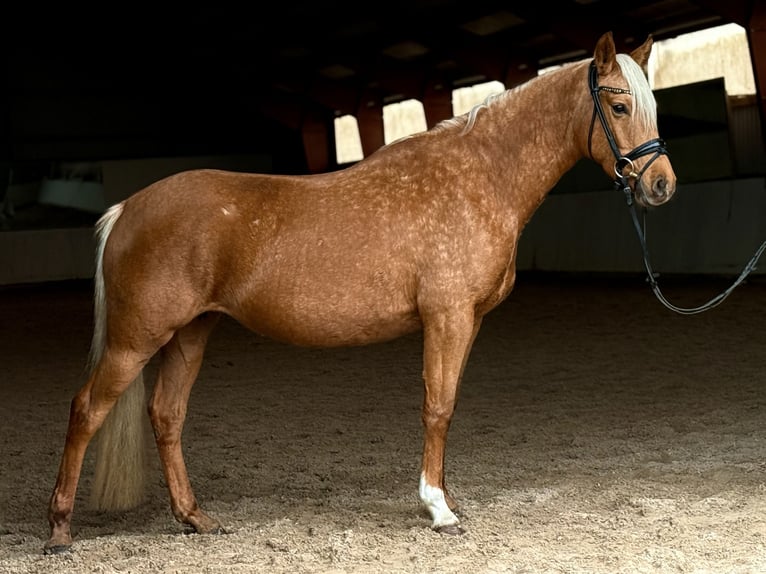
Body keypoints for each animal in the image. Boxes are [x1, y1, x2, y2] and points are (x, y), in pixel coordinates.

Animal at [44, 31, 676, 553]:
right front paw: (438, 509)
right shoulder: (447, 317)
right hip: (136, 339)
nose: (661, 185)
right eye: (619, 105)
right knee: (86, 410)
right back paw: (59, 531)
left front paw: (446, 497)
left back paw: (195, 519)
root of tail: (127, 209)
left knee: (166, 415)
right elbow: (437, 406)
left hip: (189, 334)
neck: (480, 177)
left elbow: (448, 405)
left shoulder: (467, 321)